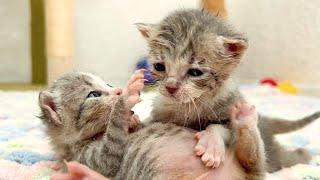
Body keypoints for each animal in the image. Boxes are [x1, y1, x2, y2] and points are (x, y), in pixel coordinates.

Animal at [39, 71, 264, 179]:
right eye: (93, 94)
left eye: (109, 85)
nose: (119, 90)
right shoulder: (88, 157)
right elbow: (109, 152)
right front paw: (125, 102)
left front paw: (132, 118)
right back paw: (84, 175)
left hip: (249, 164)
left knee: (250, 157)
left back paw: (244, 118)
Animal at [138, 8, 320, 172]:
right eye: (159, 67)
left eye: (195, 72)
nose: (170, 87)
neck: (189, 104)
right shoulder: (157, 116)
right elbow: (145, 124)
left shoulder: (230, 109)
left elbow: (220, 126)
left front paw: (211, 143)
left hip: (274, 157)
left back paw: (306, 153)